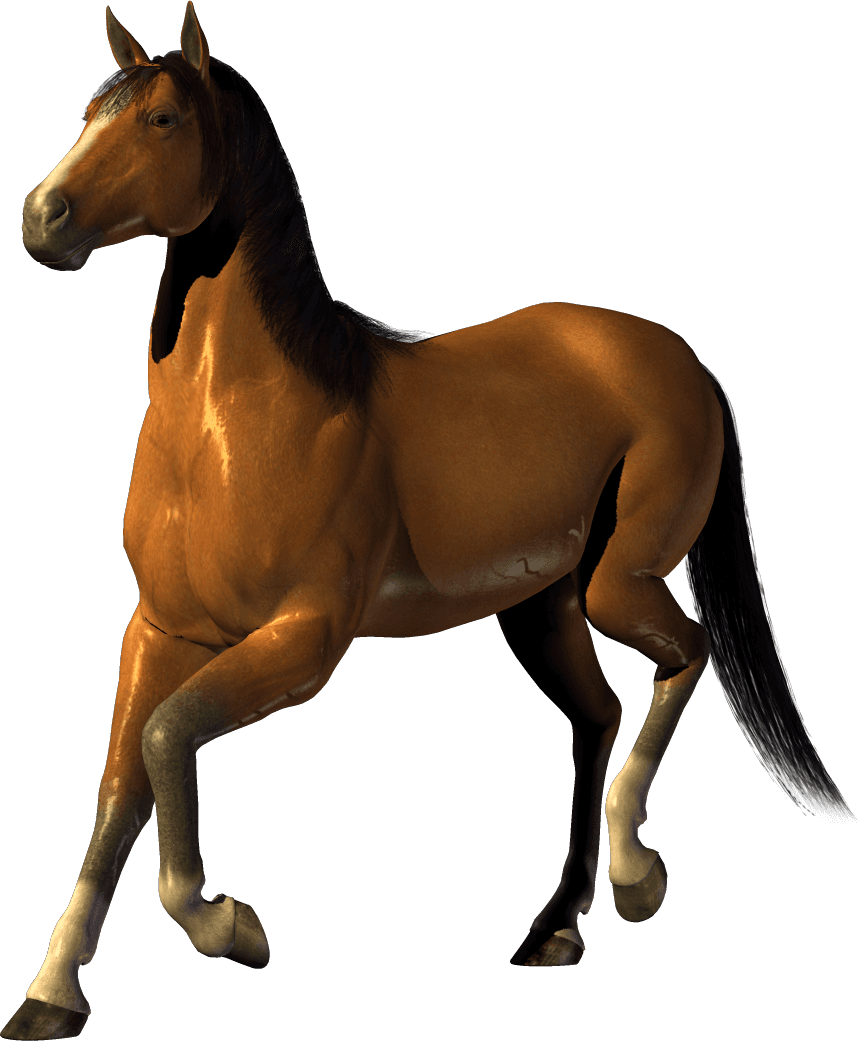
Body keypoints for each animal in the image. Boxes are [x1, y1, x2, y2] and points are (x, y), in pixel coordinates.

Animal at [10, 3, 856, 1038]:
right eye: (89, 113)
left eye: (161, 120)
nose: (42, 219)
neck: (237, 422)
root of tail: (682, 358)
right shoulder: (161, 630)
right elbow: (119, 787)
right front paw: (51, 993)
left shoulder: (306, 638)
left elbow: (167, 739)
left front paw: (231, 924)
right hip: (540, 607)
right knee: (597, 713)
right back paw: (554, 928)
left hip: (618, 585)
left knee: (683, 653)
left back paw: (634, 879)